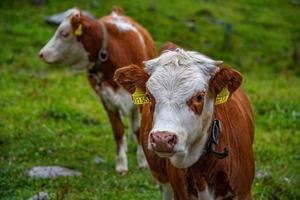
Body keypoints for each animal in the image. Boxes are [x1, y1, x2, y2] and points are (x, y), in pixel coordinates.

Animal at [38, 7, 156, 174]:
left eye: (64, 33)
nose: (41, 53)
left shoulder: (139, 101)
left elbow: (139, 129)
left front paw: (143, 162)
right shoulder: (107, 101)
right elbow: (118, 130)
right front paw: (121, 164)